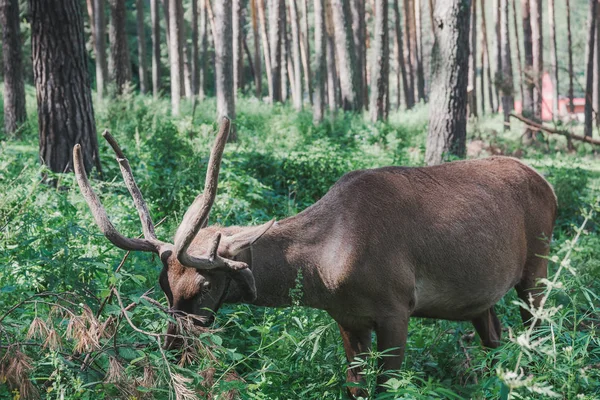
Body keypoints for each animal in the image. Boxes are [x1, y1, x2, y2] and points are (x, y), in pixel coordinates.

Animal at [74, 116, 556, 396]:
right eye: (163, 284)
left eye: (207, 284)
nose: (174, 349)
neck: (326, 269)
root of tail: (548, 183)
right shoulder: (347, 317)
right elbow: (355, 387)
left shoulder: (397, 308)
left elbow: (388, 386)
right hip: (480, 299)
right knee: (495, 340)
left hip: (537, 267)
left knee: (534, 333)